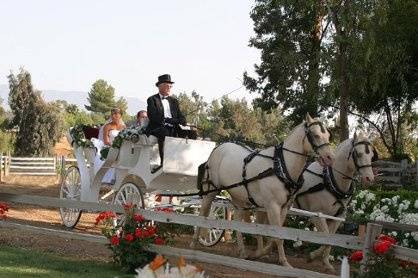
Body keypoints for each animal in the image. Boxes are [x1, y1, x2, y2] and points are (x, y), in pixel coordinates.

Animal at [191, 113, 334, 268]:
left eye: (328, 135)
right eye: (315, 135)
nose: (330, 158)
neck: (281, 166)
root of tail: (219, 147)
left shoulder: (284, 207)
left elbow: (276, 235)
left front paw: (260, 254)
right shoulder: (272, 206)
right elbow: (277, 236)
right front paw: (284, 262)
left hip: (239, 198)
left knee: (237, 221)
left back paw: (242, 252)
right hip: (211, 190)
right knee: (203, 213)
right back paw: (194, 243)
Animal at [253, 132, 378, 272]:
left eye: (371, 155)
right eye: (358, 153)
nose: (369, 178)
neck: (330, 180)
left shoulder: (337, 218)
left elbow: (331, 240)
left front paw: (326, 263)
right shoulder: (317, 215)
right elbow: (326, 237)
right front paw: (312, 256)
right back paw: (261, 252)